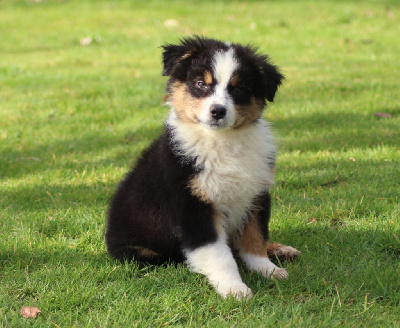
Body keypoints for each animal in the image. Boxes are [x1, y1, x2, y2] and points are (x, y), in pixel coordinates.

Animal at [106, 36, 300, 300]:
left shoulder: (255, 194)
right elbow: (219, 254)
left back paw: (282, 250)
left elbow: (255, 238)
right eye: (201, 84)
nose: (218, 111)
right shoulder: (194, 205)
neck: (222, 141)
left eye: (238, 89)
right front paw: (234, 288)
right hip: (140, 251)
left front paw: (267, 269)